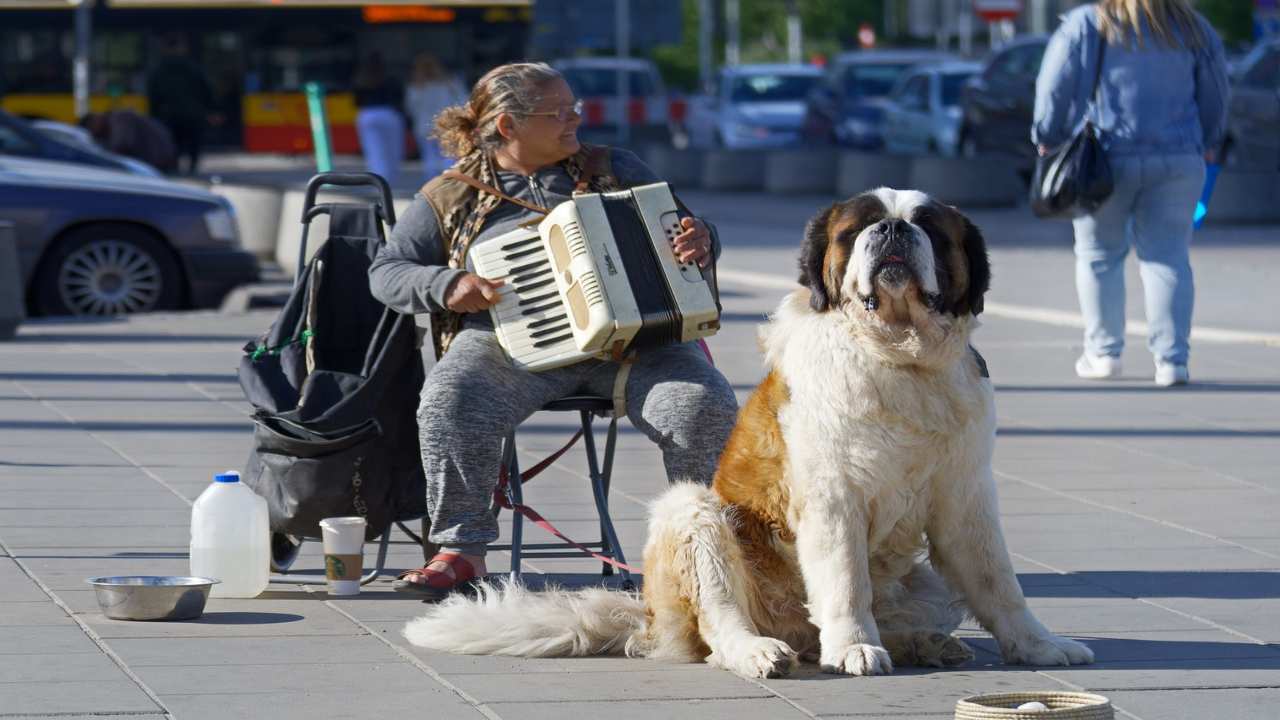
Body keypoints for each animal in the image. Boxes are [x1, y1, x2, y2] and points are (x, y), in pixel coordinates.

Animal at [404, 188, 1095, 676]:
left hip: (922, 580)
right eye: (858, 228)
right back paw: (763, 651)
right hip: (694, 511)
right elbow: (845, 579)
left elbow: (998, 580)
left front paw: (1040, 645)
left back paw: (922, 642)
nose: (894, 229)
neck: (900, 357)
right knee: (719, 622)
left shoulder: (965, 497)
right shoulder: (832, 499)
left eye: (927, 225)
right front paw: (857, 649)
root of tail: (645, 612)